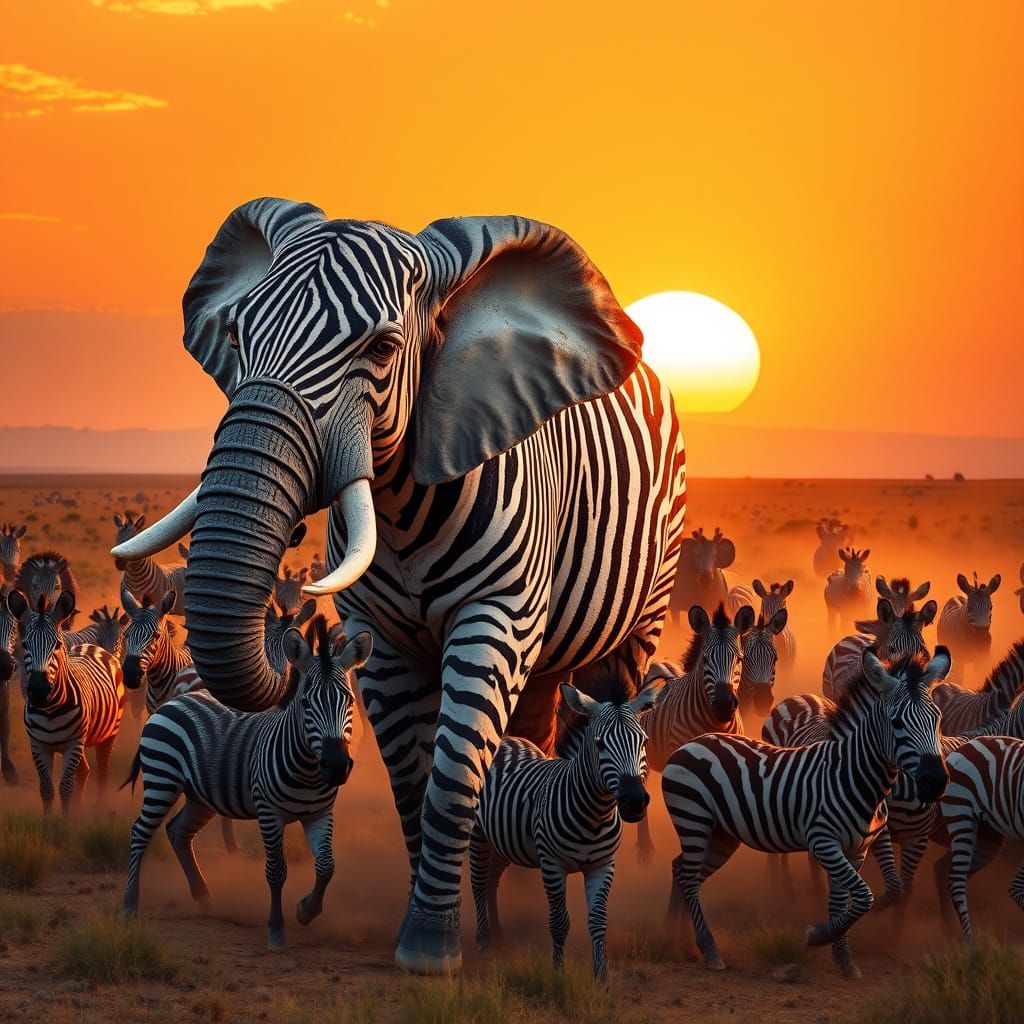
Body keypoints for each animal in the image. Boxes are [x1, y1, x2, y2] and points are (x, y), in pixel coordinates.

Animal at [8, 589, 125, 814]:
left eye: (57, 645)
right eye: (25, 644)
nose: (39, 690)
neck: (50, 710)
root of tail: (92, 646)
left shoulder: (73, 744)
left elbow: (65, 787)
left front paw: (65, 821)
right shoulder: (38, 745)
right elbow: (46, 789)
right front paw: (52, 821)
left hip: (109, 733)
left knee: (102, 771)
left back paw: (100, 808)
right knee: (84, 771)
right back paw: (79, 809)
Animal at [122, 617, 369, 952]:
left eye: (350, 701)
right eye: (306, 703)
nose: (338, 766)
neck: (307, 771)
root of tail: (174, 700)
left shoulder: (320, 814)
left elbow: (327, 866)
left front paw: (306, 910)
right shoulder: (269, 814)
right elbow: (276, 872)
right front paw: (276, 931)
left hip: (201, 796)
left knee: (178, 832)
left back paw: (204, 897)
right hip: (162, 779)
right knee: (140, 832)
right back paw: (129, 905)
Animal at [470, 680, 658, 978]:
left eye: (644, 741)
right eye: (599, 744)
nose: (635, 801)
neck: (594, 815)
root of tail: (505, 739)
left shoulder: (603, 865)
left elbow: (598, 921)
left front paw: (601, 975)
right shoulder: (552, 865)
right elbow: (559, 921)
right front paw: (558, 971)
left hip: (505, 838)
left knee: (490, 879)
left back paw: (498, 936)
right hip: (478, 832)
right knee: (477, 881)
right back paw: (485, 942)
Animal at [665, 648, 951, 978]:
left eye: (937, 719)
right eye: (896, 722)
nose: (936, 781)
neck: (852, 774)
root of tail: (692, 742)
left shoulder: (855, 850)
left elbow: (844, 900)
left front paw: (844, 957)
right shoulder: (824, 842)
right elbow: (862, 896)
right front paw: (818, 936)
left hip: (721, 835)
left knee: (682, 871)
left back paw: (679, 941)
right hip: (693, 819)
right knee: (688, 877)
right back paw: (709, 949)